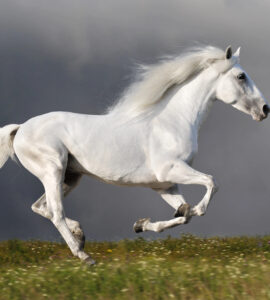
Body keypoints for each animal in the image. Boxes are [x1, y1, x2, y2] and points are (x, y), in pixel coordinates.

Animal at [0, 45, 268, 264]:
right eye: (241, 76)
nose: (265, 109)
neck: (172, 121)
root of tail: (20, 128)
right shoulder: (172, 169)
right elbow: (211, 185)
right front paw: (189, 210)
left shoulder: (164, 185)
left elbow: (184, 216)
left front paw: (142, 224)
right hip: (52, 171)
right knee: (55, 212)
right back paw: (84, 255)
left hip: (70, 177)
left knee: (40, 207)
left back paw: (79, 234)